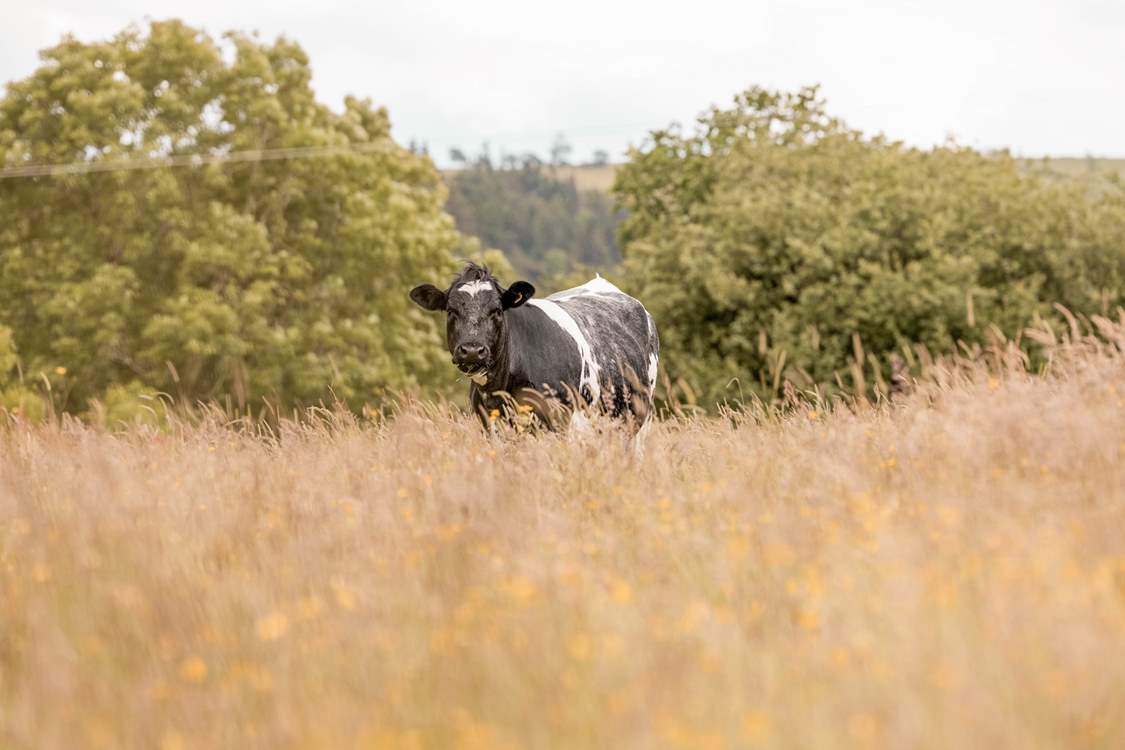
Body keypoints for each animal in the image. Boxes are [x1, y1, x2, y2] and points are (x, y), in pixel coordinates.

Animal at [409, 263, 659, 431]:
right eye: (451, 311)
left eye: (497, 310)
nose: (472, 350)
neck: (501, 388)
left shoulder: (557, 421)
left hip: (640, 418)